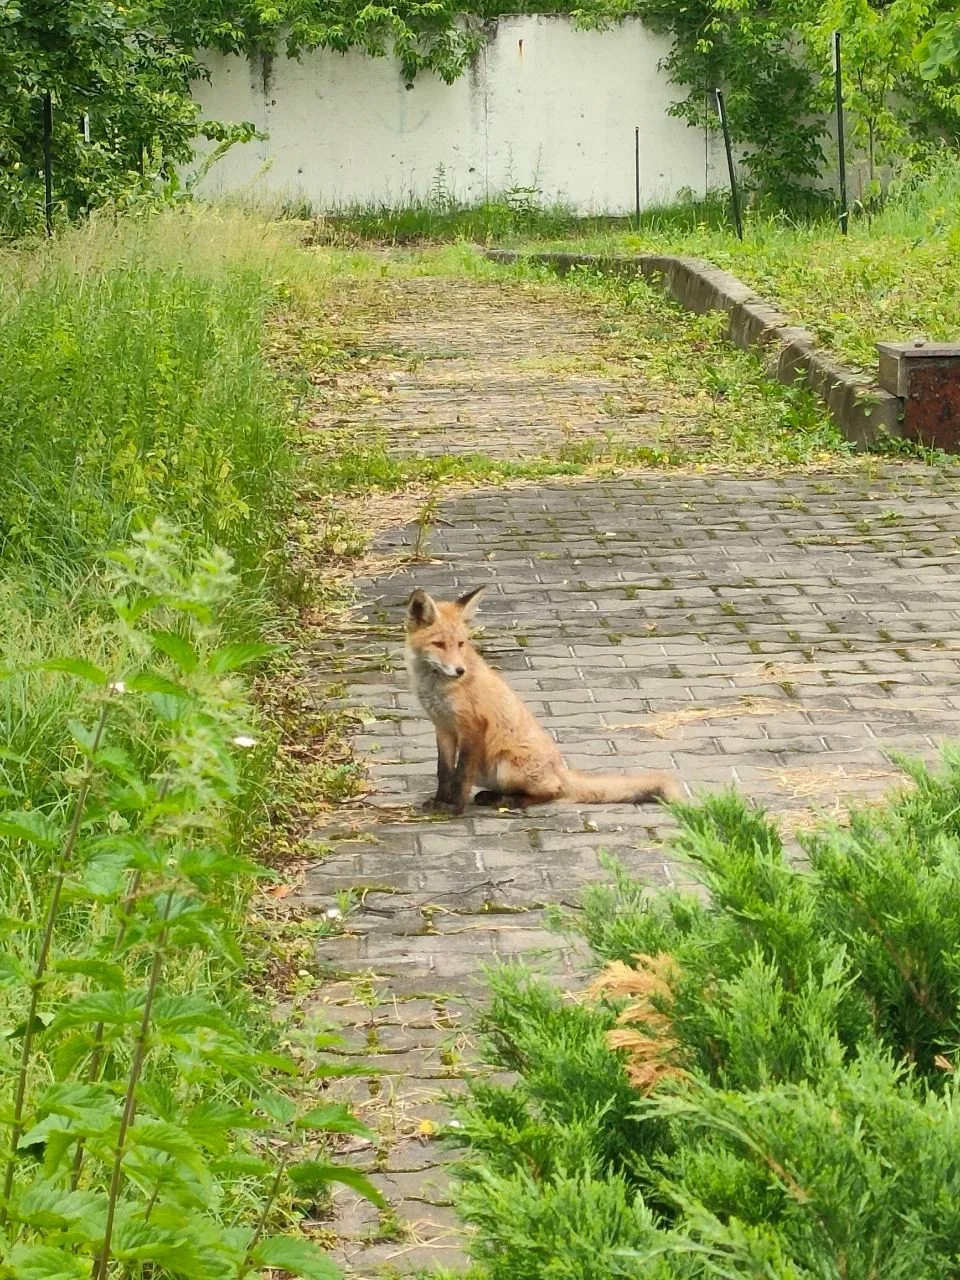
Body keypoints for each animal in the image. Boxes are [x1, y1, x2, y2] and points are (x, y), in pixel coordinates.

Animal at [405, 585, 683, 814]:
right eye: (439, 644)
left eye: (461, 643)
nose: (459, 671)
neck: (435, 685)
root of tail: (561, 770)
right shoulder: (443, 727)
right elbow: (444, 772)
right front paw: (440, 802)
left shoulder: (472, 726)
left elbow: (461, 775)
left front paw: (455, 808)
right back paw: (492, 797)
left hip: (506, 767)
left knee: (552, 792)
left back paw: (511, 801)